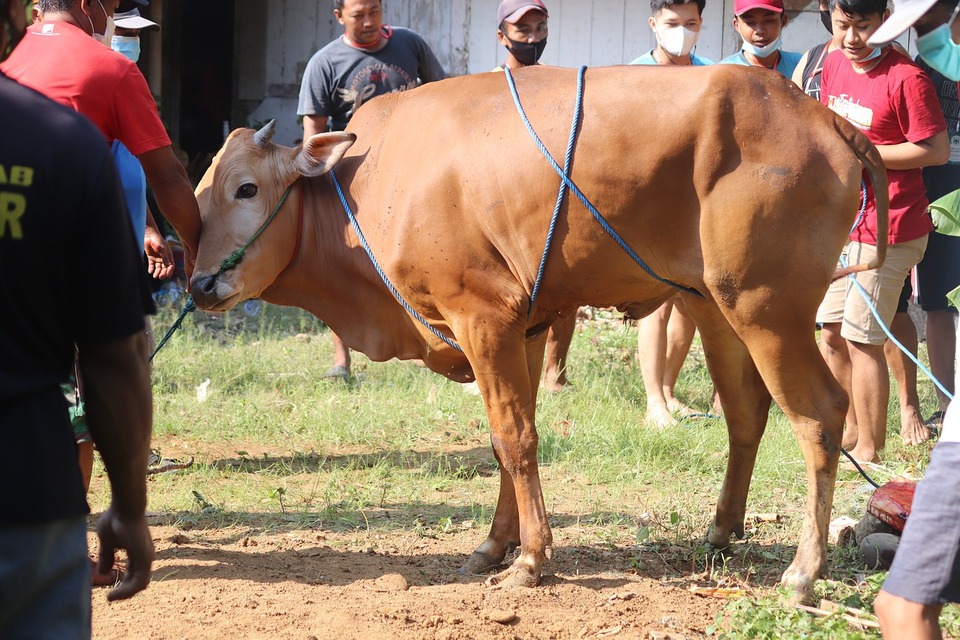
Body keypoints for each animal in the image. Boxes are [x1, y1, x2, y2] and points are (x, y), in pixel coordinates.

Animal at [191, 65, 888, 600]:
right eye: (198, 196)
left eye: (246, 189)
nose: (198, 285)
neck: (368, 187)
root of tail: (824, 117)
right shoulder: (520, 329)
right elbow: (507, 440)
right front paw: (493, 545)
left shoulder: (484, 317)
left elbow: (515, 436)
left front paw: (530, 560)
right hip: (716, 308)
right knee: (746, 413)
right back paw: (721, 532)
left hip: (769, 311)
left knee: (821, 415)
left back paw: (802, 572)